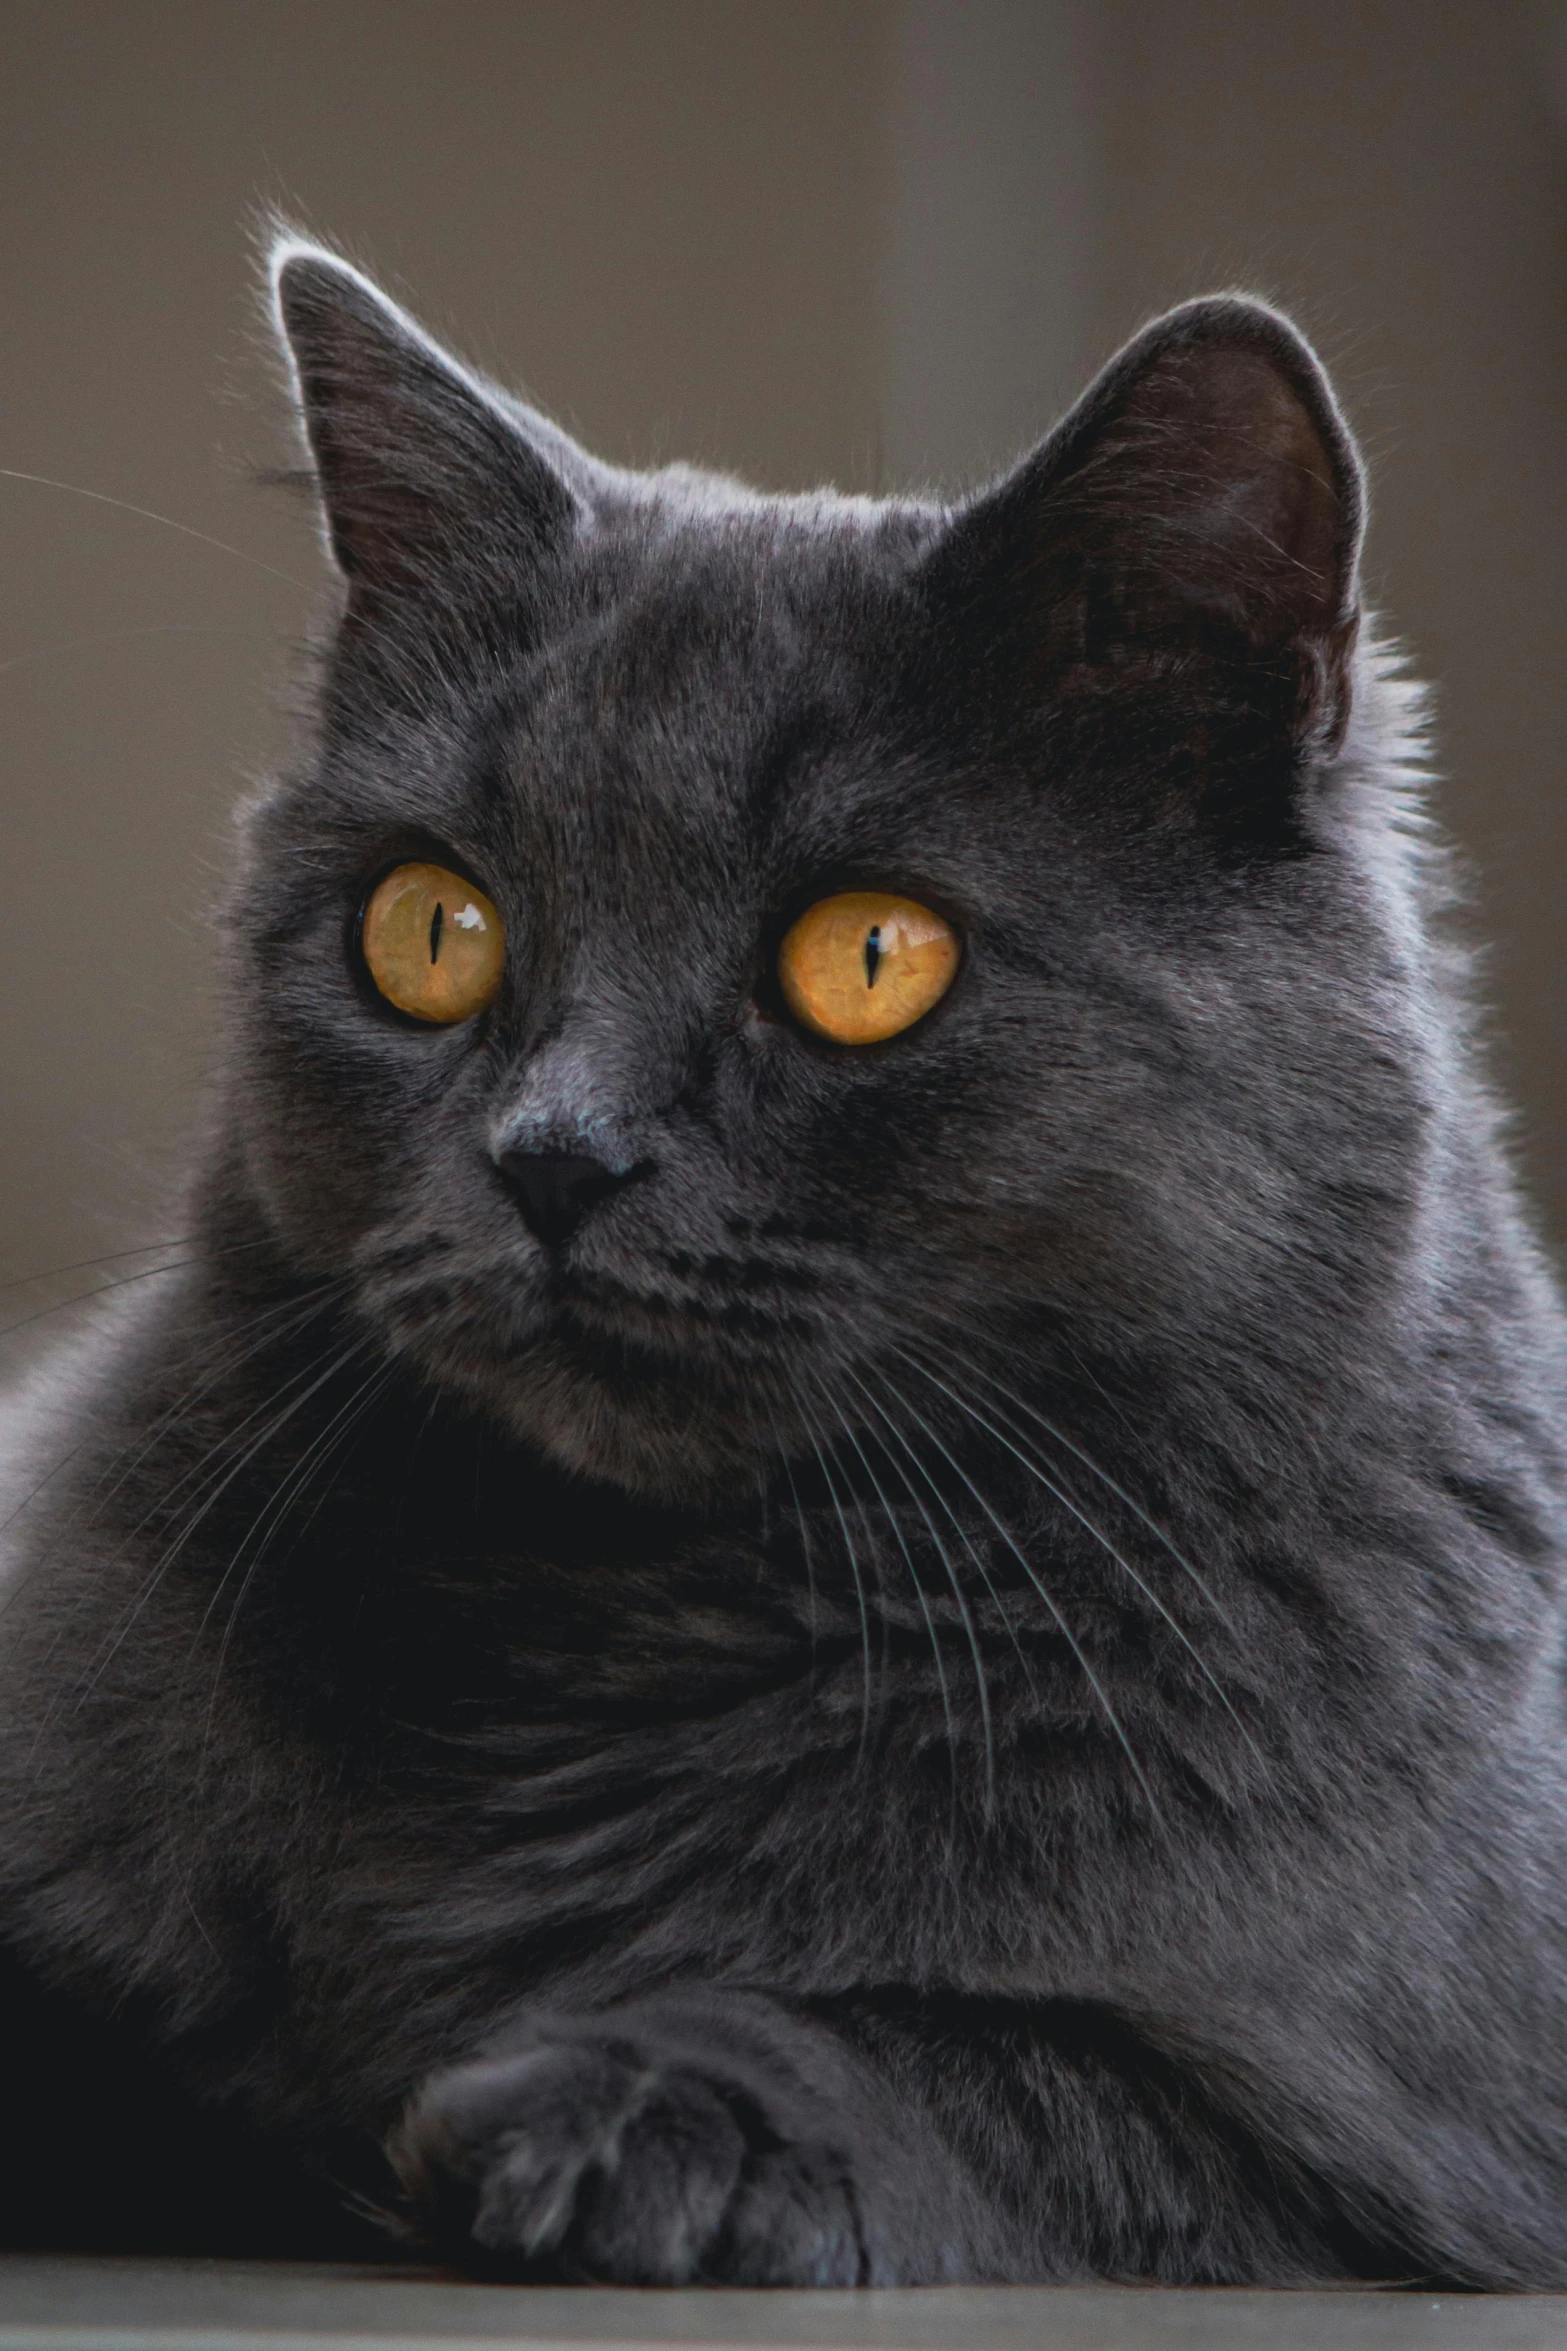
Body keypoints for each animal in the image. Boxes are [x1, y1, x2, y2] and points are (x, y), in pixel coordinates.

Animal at [3, 238, 1567, 2275]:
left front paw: (603, 2105)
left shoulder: (1401, 2162)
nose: (554, 1154)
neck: (610, 1631)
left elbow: (1002, 2062)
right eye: (428, 928)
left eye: (869, 957)